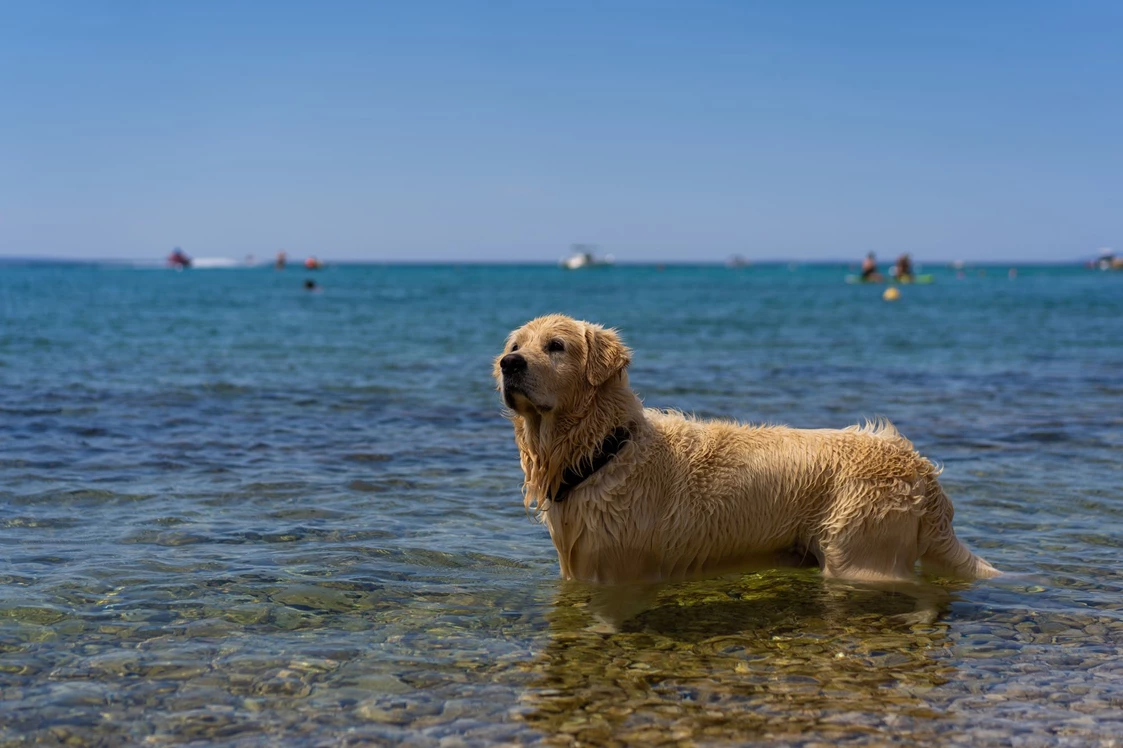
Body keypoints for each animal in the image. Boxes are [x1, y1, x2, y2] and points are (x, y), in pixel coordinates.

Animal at [496, 312, 997, 584]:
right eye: (516, 344)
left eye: (556, 346)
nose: (508, 363)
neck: (604, 448)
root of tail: (920, 469)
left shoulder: (620, 571)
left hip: (859, 557)